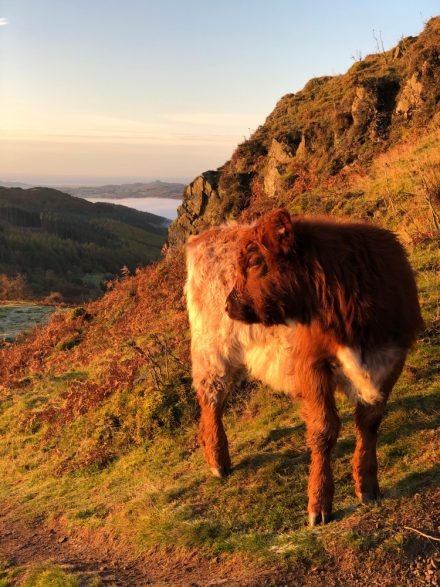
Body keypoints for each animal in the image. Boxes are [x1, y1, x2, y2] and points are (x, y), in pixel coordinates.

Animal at [185, 210, 422, 528]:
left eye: (255, 262)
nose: (229, 305)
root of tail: (205, 236)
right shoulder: (312, 365)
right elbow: (324, 429)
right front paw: (319, 504)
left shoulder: (392, 361)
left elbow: (369, 424)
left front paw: (368, 486)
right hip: (213, 349)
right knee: (211, 400)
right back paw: (218, 460)